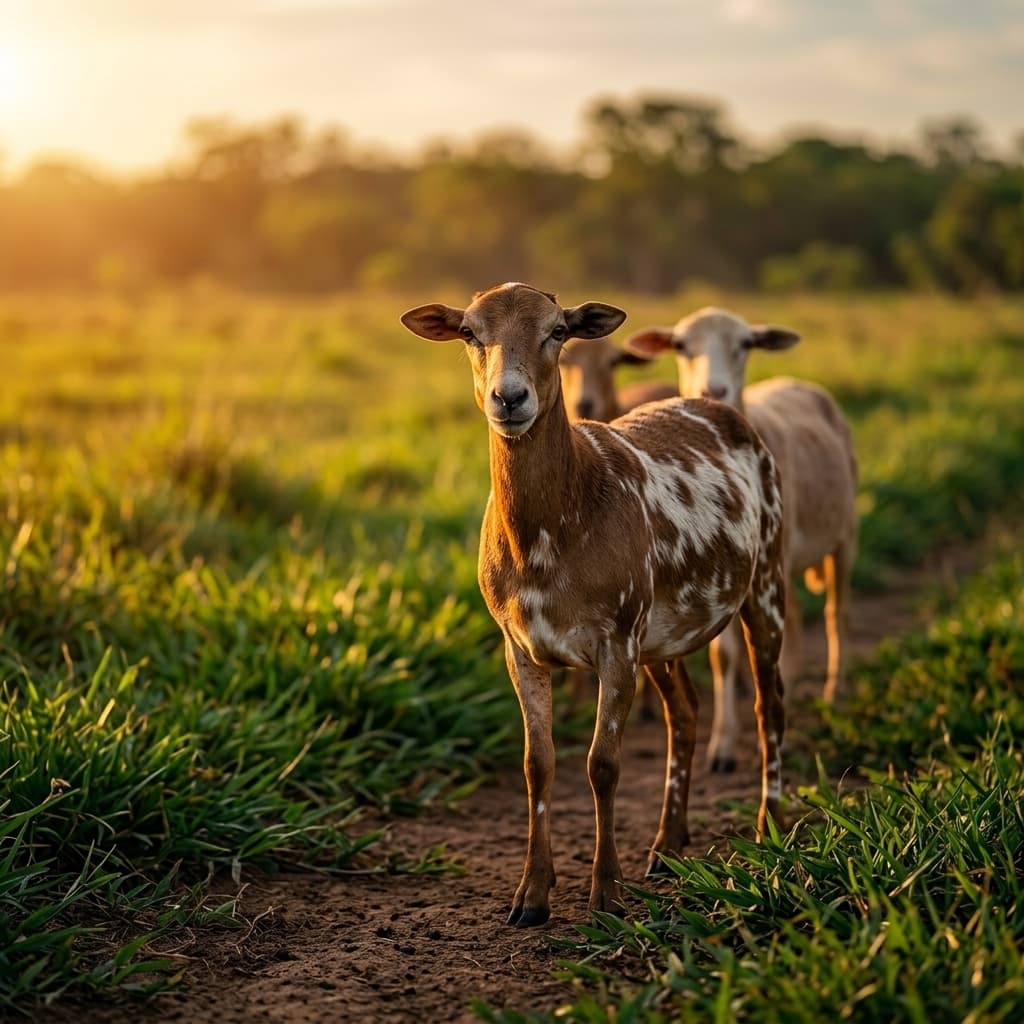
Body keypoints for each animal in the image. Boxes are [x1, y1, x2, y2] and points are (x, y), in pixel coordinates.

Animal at [401, 283, 787, 926]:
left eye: (558, 330)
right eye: (470, 332)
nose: (510, 398)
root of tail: (719, 406)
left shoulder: (616, 637)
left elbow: (602, 765)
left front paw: (605, 894)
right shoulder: (519, 644)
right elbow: (538, 764)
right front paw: (531, 896)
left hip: (766, 576)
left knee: (770, 703)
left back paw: (769, 827)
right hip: (664, 627)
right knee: (685, 711)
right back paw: (666, 845)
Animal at [627, 306, 858, 772]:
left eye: (746, 344)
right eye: (681, 345)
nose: (713, 389)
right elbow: (724, 657)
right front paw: (723, 746)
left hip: (842, 534)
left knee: (835, 612)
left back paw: (832, 692)